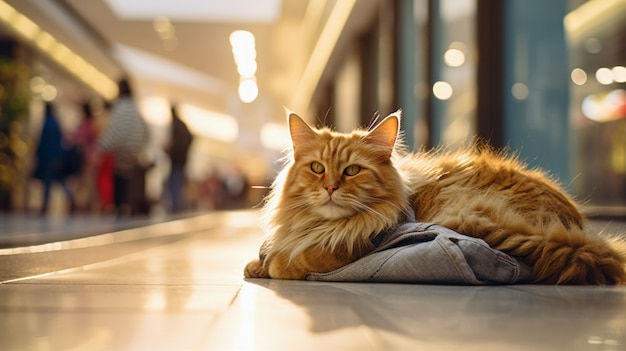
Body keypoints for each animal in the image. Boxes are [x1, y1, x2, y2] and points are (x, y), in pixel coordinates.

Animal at [244, 110, 624, 286]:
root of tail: (576, 233)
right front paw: (256, 264)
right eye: (317, 168)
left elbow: (297, 259)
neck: (315, 224)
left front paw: (274, 265)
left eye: (352, 171)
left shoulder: (355, 244)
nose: (330, 188)